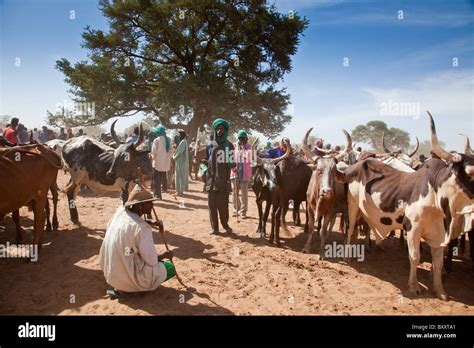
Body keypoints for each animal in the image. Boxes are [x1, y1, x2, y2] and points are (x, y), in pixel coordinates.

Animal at [302, 128, 350, 256]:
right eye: (319, 170)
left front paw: (322, 252)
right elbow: (311, 228)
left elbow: (322, 230)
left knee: (348, 227)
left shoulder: (329, 211)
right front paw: (306, 248)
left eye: (334, 171)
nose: (327, 191)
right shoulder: (310, 209)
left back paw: (344, 243)